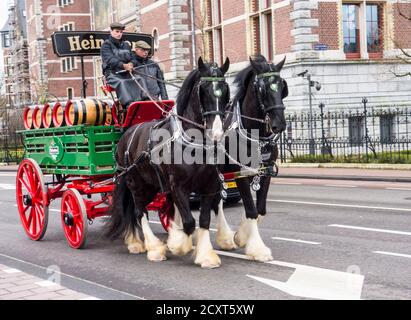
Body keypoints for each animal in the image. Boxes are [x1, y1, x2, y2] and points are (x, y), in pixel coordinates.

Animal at [104, 57, 230, 268]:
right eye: (204, 90)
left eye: (226, 89)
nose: (217, 133)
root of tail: (125, 135)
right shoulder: (178, 186)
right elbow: (189, 222)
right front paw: (177, 245)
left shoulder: (209, 186)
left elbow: (203, 220)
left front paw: (205, 256)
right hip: (135, 184)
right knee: (139, 212)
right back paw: (153, 248)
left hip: (151, 185)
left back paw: (136, 242)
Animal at [214, 54, 288, 260]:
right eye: (262, 88)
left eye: (282, 86)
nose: (280, 124)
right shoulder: (240, 175)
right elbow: (251, 209)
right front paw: (258, 249)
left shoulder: (265, 173)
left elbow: (259, 209)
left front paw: (241, 236)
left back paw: (226, 239)